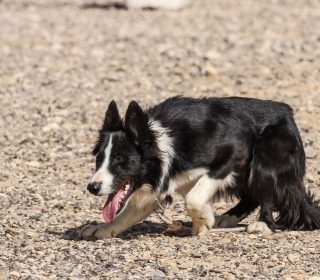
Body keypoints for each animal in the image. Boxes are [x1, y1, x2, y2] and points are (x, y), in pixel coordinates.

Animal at [77, 96, 320, 238]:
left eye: (119, 159)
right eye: (99, 158)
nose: (92, 187)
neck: (164, 145)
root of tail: (287, 112)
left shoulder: (232, 153)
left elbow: (194, 197)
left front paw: (203, 221)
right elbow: (127, 213)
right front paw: (102, 229)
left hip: (265, 154)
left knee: (265, 192)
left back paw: (263, 224)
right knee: (252, 196)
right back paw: (228, 218)